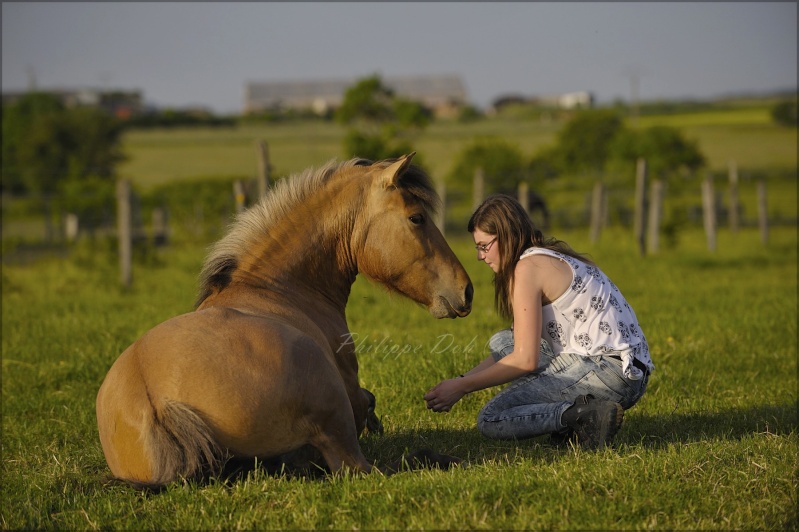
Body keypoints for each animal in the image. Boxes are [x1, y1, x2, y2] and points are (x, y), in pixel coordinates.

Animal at [96, 153, 473, 487]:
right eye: (416, 218)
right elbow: (367, 406)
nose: (466, 290)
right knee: (367, 467)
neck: (276, 288)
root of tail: (157, 404)